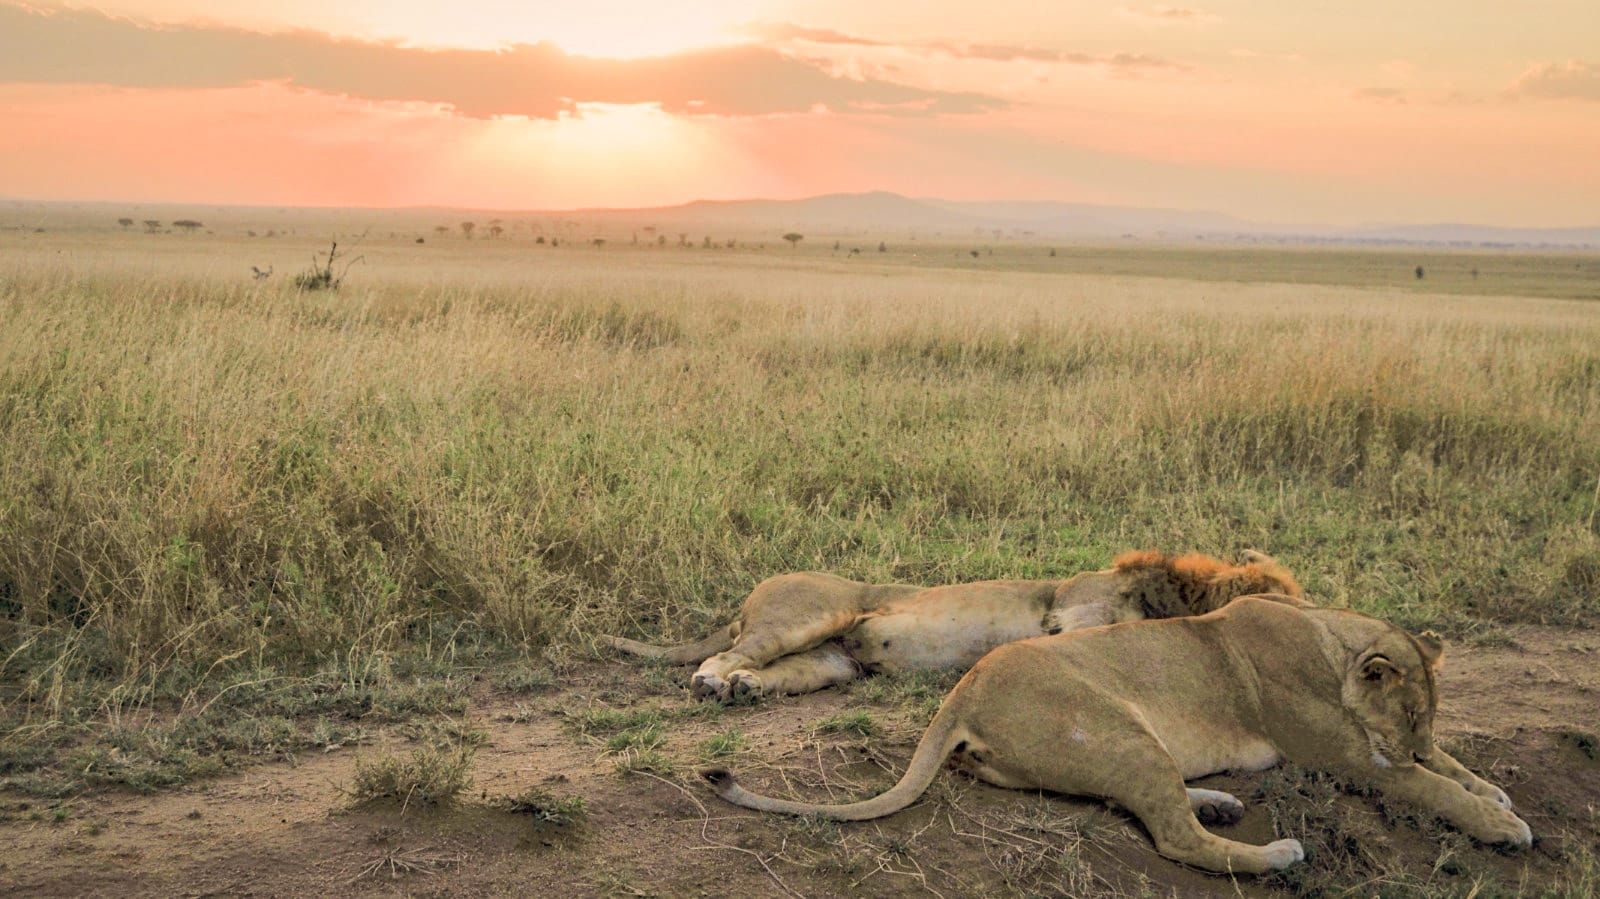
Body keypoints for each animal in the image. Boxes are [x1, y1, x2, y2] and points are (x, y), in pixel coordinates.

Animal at [702, 595, 1531, 875]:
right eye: (1410, 714)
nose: (1414, 737)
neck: (1331, 641)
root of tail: (963, 688)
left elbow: (1453, 769)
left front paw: (1492, 787)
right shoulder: (1347, 756)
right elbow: (1429, 786)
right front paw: (1503, 823)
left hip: (1125, 744)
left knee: (1169, 809)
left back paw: (1221, 802)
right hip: (1119, 729)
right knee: (1176, 838)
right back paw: (1276, 852)